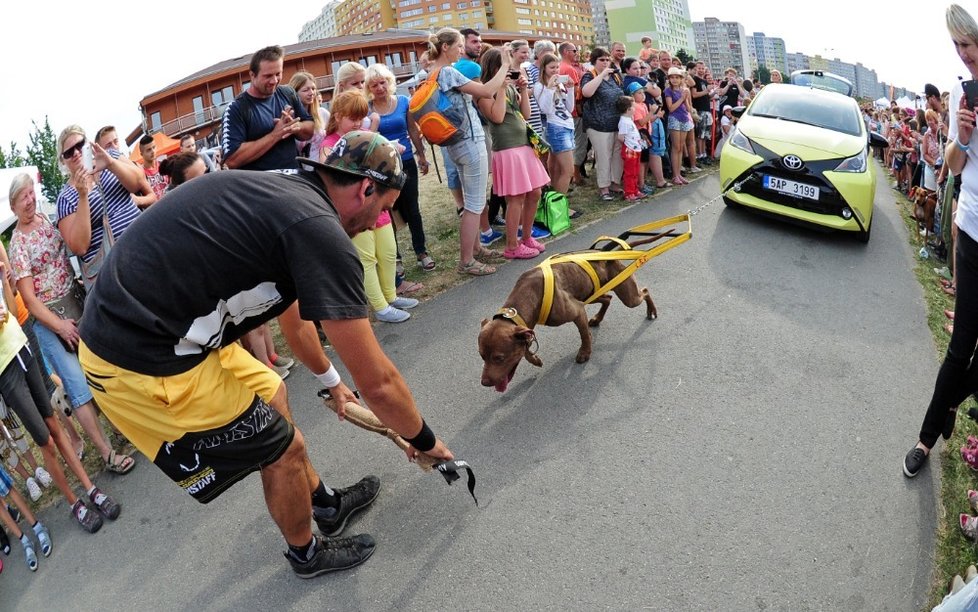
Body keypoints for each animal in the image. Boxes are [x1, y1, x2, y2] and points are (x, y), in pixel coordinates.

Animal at [478, 255, 656, 390]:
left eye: (499, 358)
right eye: (482, 356)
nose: (484, 383)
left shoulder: (577, 311)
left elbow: (584, 335)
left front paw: (585, 352)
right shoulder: (525, 328)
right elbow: (526, 349)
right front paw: (534, 359)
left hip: (628, 297)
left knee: (645, 291)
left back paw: (651, 310)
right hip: (590, 294)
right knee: (607, 298)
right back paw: (597, 318)